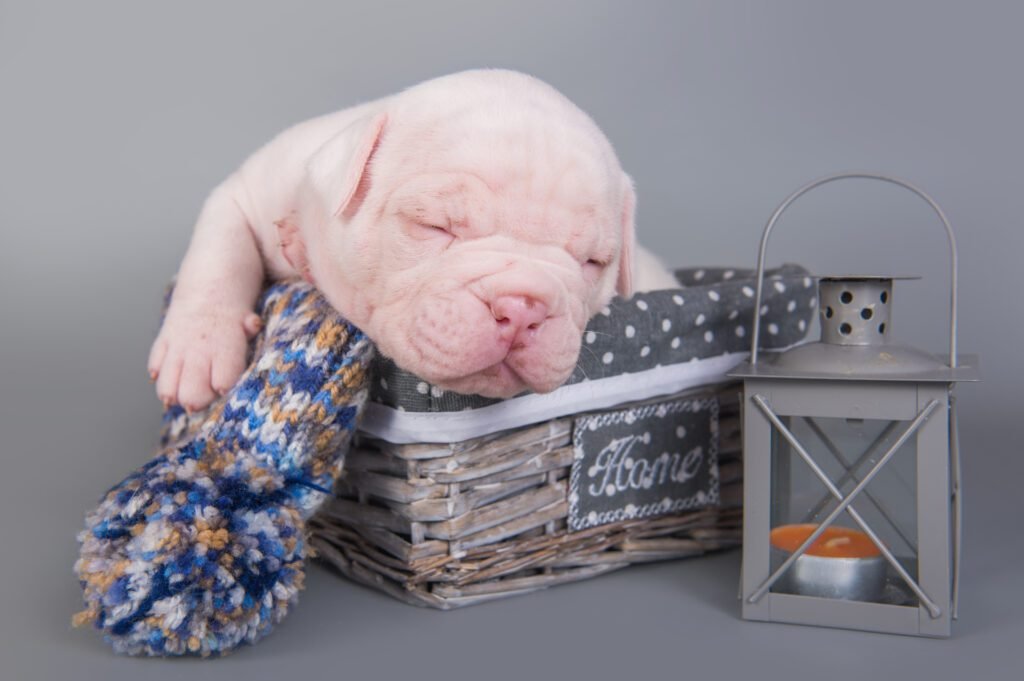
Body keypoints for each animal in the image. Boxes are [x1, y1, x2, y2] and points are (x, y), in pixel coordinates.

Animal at [148, 70, 675, 409]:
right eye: (434, 226)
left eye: (593, 262)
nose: (522, 308)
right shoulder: (248, 188)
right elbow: (219, 252)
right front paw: (196, 349)